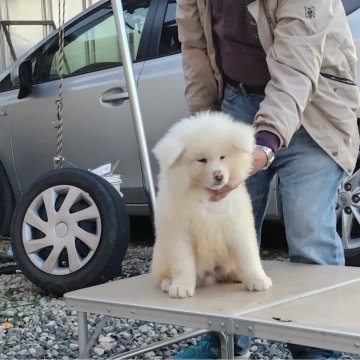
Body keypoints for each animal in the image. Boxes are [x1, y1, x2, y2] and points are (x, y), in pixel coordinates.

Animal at [150, 112, 272, 298]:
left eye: (223, 156)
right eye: (202, 160)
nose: (219, 175)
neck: (205, 193)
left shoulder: (238, 227)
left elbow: (248, 256)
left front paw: (258, 280)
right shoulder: (180, 233)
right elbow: (182, 263)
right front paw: (181, 287)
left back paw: (237, 276)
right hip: (161, 255)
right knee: (163, 273)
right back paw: (168, 283)